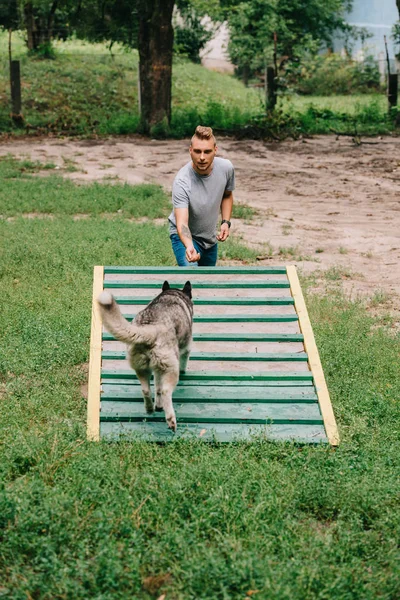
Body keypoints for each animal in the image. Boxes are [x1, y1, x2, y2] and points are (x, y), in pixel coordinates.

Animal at [97, 282, 193, 432]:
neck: (172, 295)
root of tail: (151, 329)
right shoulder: (186, 347)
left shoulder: (157, 371)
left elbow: (157, 388)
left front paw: (158, 406)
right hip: (171, 370)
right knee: (166, 391)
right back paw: (171, 420)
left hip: (142, 369)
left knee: (147, 390)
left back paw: (149, 409)